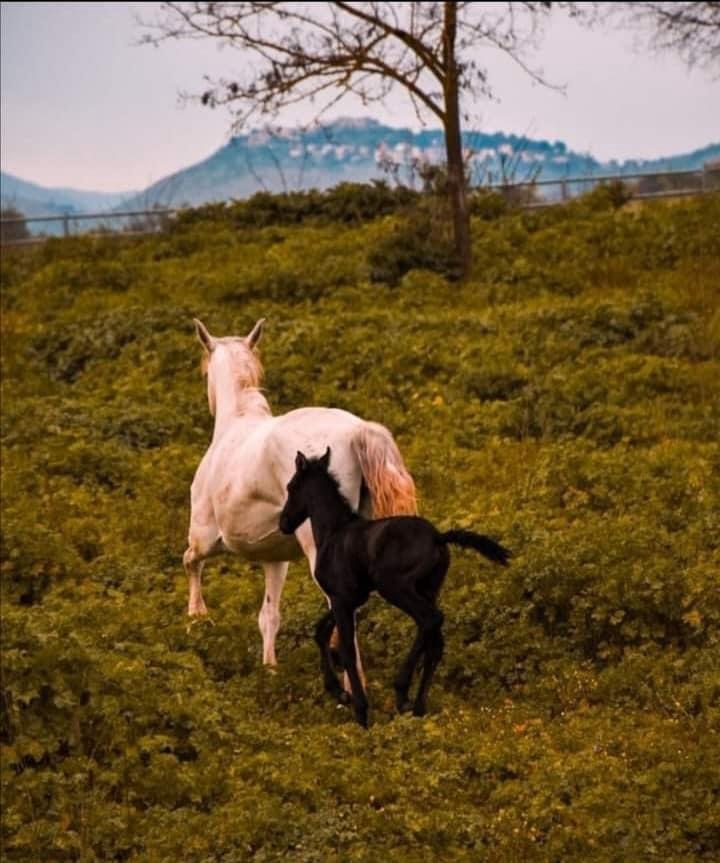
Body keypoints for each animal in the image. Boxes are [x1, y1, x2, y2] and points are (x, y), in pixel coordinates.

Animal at [184, 318, 417, 672]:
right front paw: (270, 670)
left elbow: (190, 562)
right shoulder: (274, 559)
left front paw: (197, 619)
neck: (234, 426)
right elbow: (269, 616)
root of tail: (356, 431)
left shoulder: (205, 536)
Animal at [279, 448, 511, 727]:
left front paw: (360, 710)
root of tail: (438, 537)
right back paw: (418, 707)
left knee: (430, 620)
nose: (283, 523)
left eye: (291, 486)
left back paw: (401, 691)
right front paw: (338, 692)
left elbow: (346, 650)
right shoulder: (351, 599)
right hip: (429, 590)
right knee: (435, 643)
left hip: (395, 587)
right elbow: (321, 632)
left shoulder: (341, 599)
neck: (333, 532)